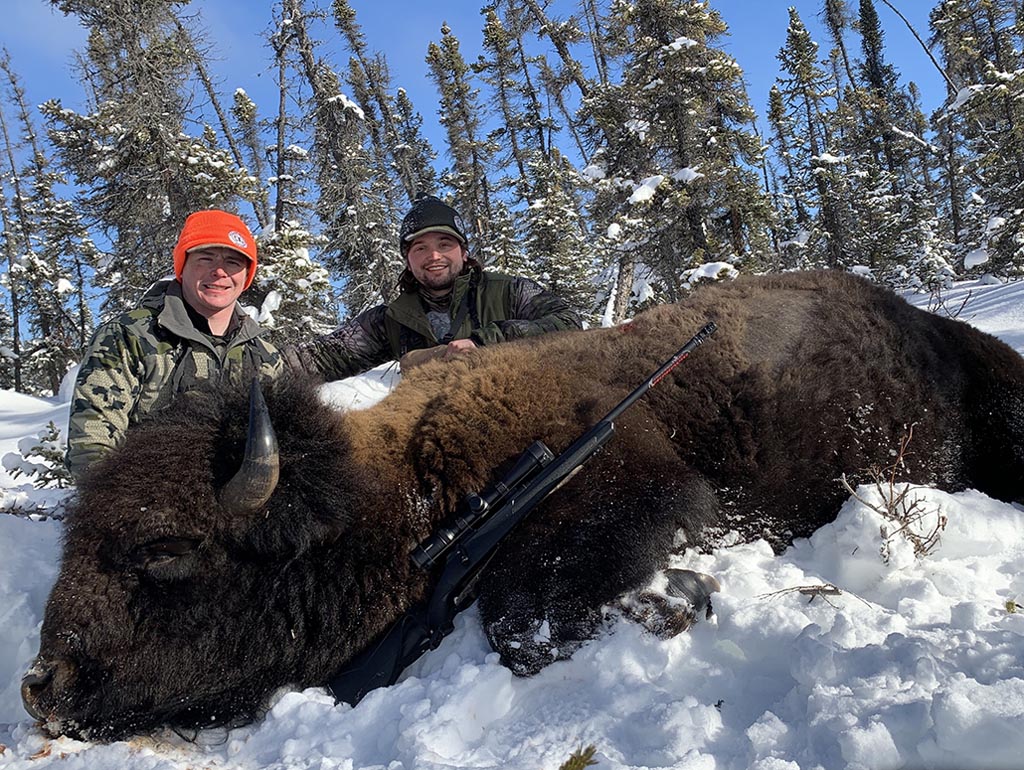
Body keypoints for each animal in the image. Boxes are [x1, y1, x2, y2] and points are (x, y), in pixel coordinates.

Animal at [22, 270, 1024, 741]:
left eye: (162, 551)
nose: (43, 688)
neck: (411, 488)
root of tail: (935, 326)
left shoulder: (642, 495)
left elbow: (526, 623)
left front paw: (681, 598)